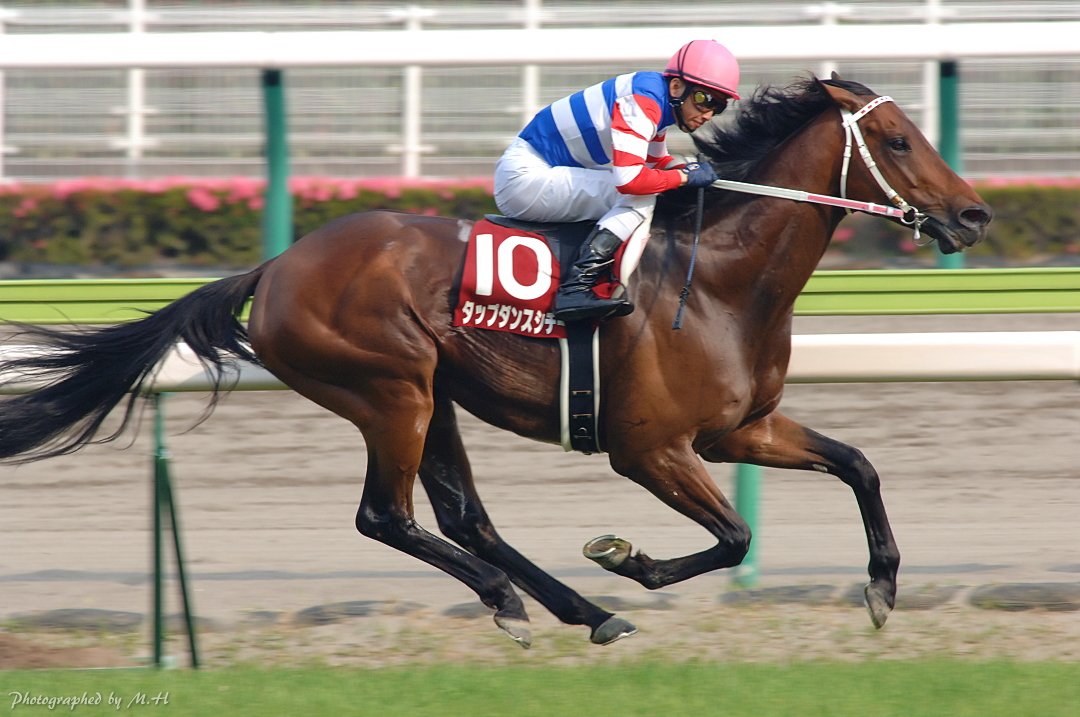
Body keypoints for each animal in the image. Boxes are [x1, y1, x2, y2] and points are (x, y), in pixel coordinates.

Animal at [0, 76, 991, 648]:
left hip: (432, 393)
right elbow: (737, 535)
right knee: (385, 516)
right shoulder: (651, 448)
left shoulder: (740, 429)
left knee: (464, 517)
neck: (717, 277)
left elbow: (858, 465)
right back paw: (520, 602)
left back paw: (581, 612)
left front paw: (882, 587)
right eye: (898, 141)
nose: (975, 214)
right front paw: (626, 555)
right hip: (388, 389)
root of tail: (275, 267)